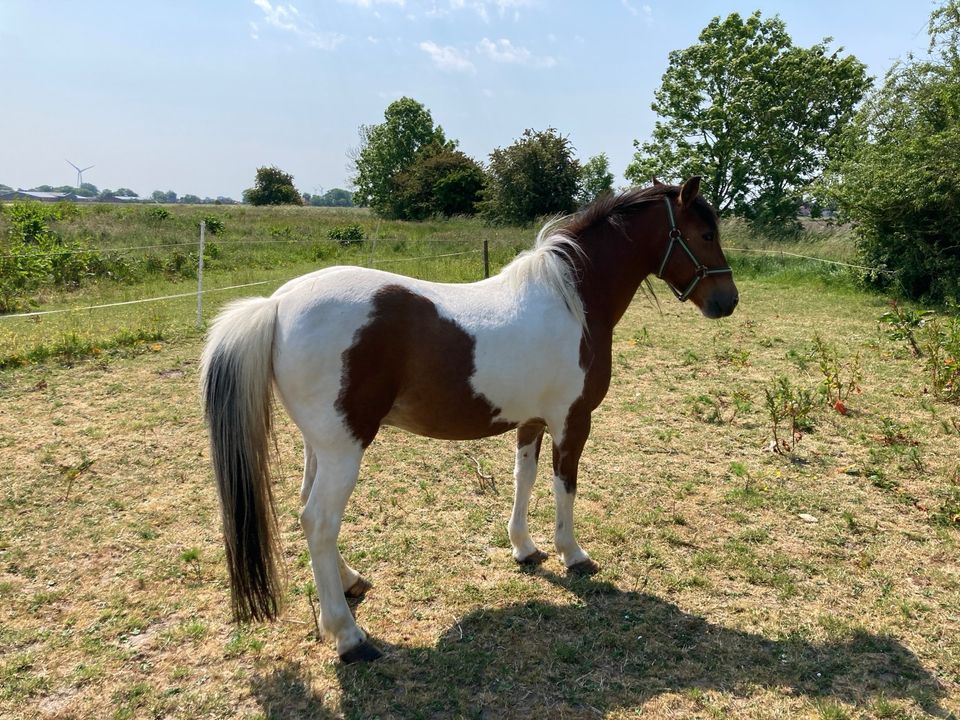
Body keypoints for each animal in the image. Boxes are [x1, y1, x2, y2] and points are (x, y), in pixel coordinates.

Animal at [202, 177, 740, 660]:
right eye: (704, 233)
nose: (728, 300)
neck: (572, 302)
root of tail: (276, 304)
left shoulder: (531, 422)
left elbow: (524, 478)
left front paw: (524, 548)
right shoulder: (573, 421)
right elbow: (564, 486)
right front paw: (573, 555)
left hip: (320, 446)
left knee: (308, 509)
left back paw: (351, 582)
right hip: (344, 449)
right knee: (319, 520)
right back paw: (349, 638)